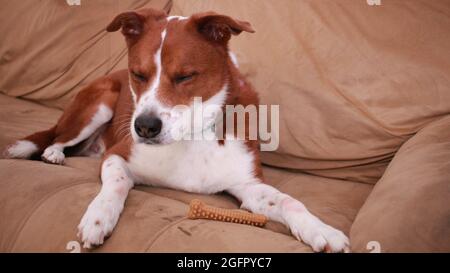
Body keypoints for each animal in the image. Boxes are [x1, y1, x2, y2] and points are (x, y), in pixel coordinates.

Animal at [1, 7, 350, 251]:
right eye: (138, 75)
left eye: (185, 76)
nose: (144, 128)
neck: (191, 136)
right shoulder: (117, 155)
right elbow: (116, 183)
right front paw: (99, 216)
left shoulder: (248, 184)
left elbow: (290, 201)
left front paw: (321, 230)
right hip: (99, 103)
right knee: (57, 136)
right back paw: (54, 154)